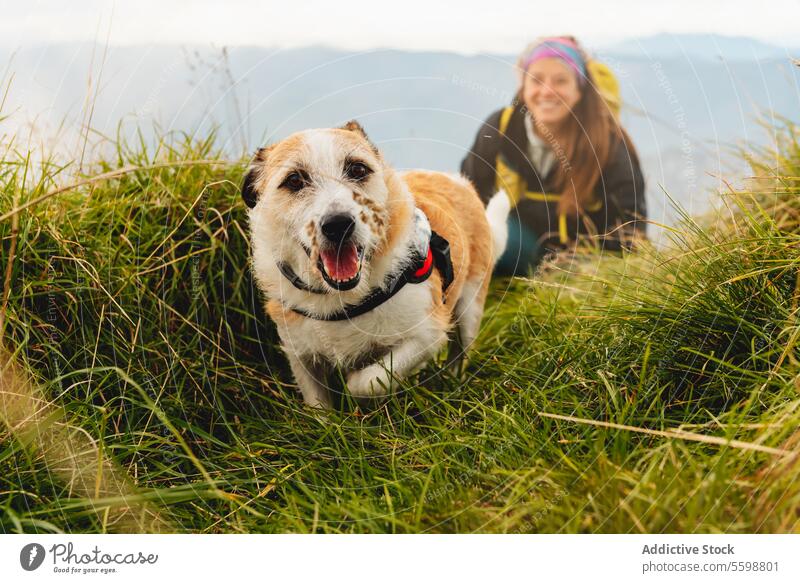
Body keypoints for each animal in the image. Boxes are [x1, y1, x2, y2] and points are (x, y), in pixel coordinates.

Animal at [241, 121, 510, 408]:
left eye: (358, 169)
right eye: (294, 180)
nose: (338, 224)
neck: (342, 299)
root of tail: (456, 181)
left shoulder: (426, 334)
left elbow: (366, 382)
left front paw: (360, 388)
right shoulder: (301, 356)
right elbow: (318, 405)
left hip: (470, 309)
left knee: (461, 353)